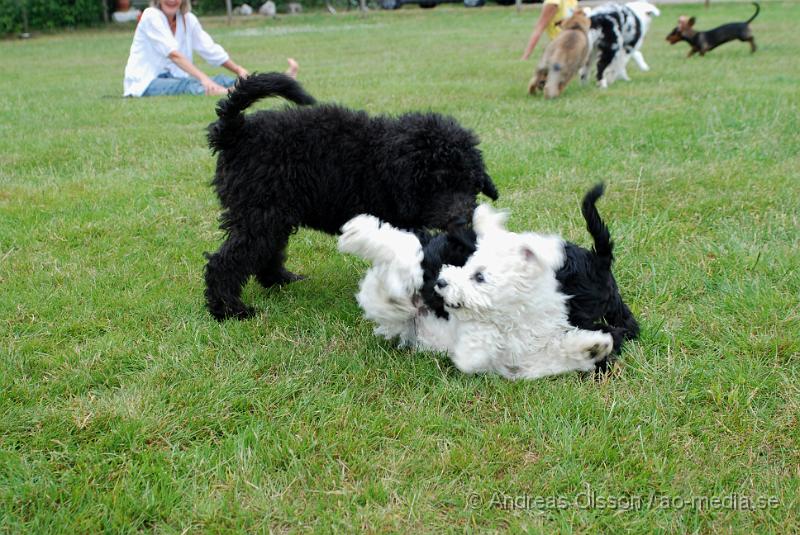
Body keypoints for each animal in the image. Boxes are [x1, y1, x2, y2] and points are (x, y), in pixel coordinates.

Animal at [203, 73, 496, 320]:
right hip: (259, 212)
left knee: (267, 250)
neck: (384, 159)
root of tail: (236, 130)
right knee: (225, 261)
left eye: (470, 183)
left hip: (271, 213)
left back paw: (280, 280)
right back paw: (229, 310)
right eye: (435, 184)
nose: (461, 220)